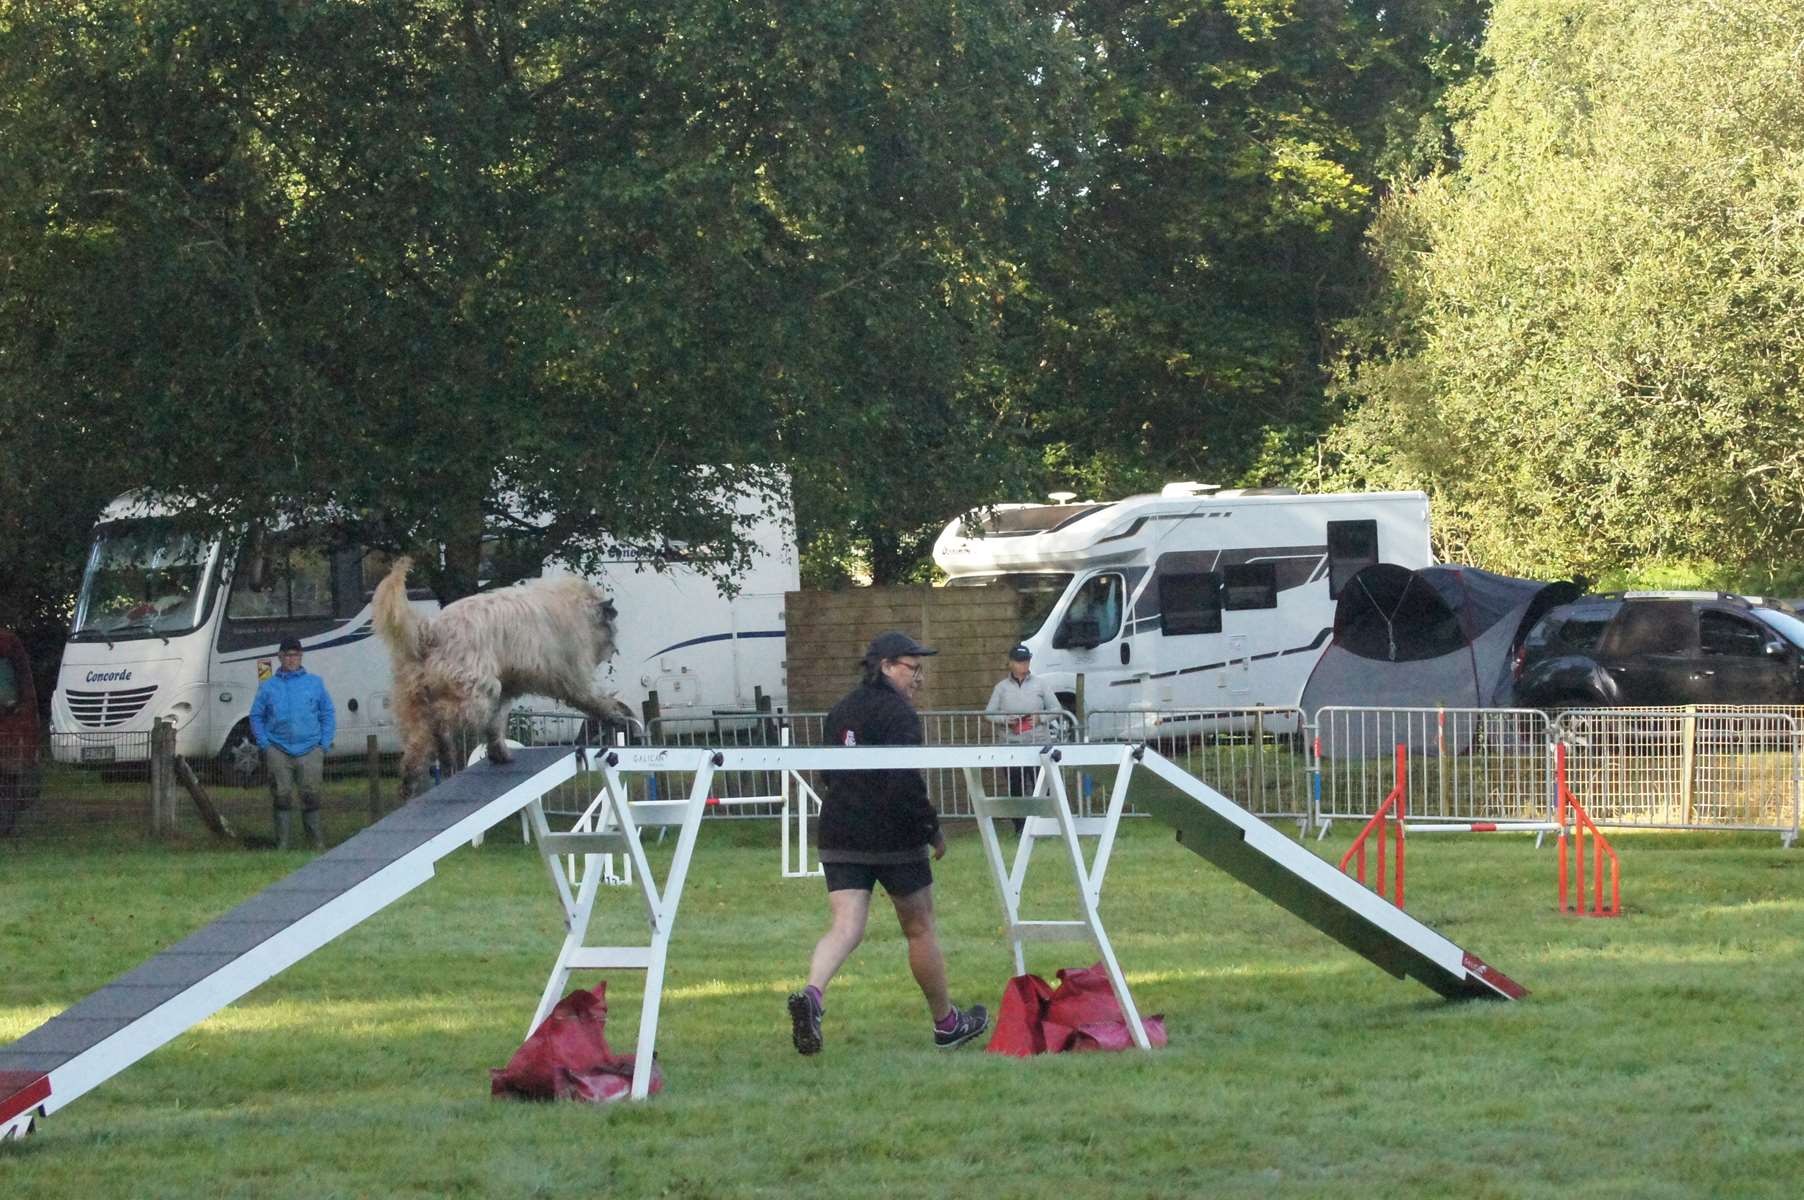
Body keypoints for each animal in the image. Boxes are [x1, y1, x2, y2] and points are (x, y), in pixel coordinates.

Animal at [366, 555, 635, 793]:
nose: (614, 649)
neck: (578, 607)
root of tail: (429, 631)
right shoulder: (573, 676)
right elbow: (593, 699)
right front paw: (616, 716)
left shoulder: (507, 690)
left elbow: (496, 724)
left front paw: (499, 753)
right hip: (475, 692)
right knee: (440, 720)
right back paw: (445, 752)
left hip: (413, 701)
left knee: (417, 742)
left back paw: (411, 782)